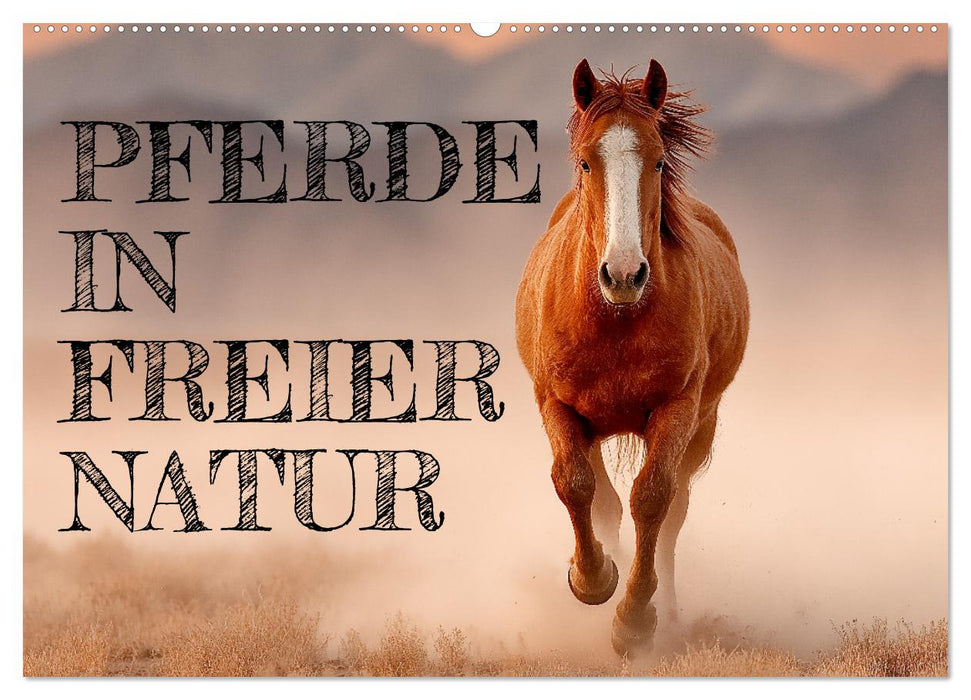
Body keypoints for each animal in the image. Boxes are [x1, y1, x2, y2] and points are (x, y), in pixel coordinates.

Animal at [515, 58, 749, 656]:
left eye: (659, 159)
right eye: (585, 161)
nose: (623, 274)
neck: (616, 319)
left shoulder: (678, 408)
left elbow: (652, 500)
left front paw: (635, 620)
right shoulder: (557, 405)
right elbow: (576, 486)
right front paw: (592, 579)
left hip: (702, 424)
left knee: (671, 514)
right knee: (603, 501)